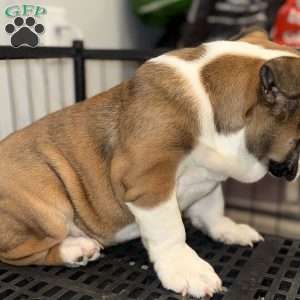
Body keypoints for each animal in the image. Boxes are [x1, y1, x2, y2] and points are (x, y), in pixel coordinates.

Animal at [0, 30, 300, 298]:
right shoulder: (149, 184)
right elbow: (171, 230)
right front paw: (186, 268)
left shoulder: (210, 175)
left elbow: (212, 208)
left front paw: (227, 229)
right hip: (48, 207)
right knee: (19, 253)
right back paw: (74, 249)